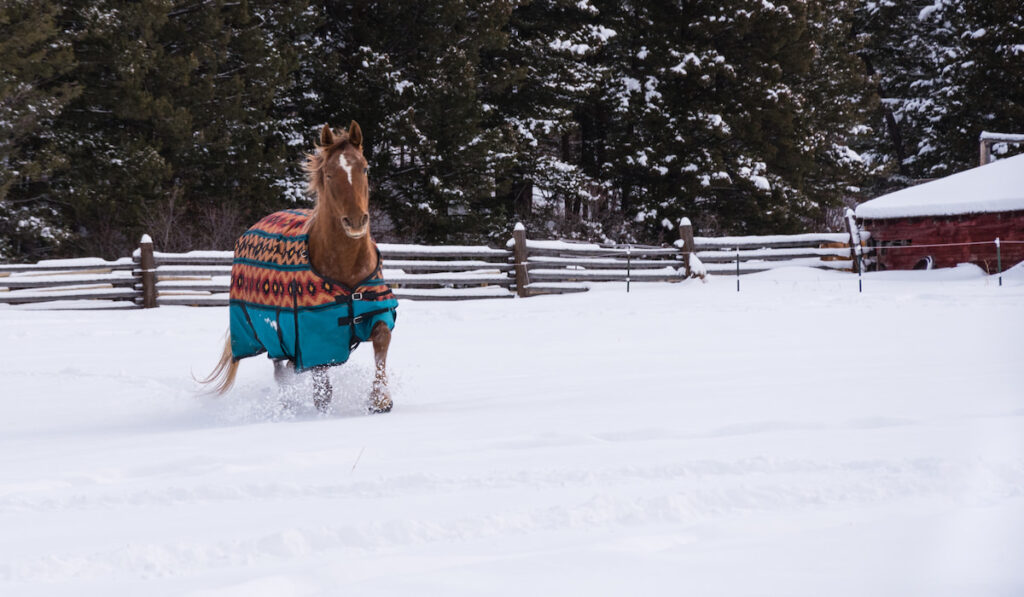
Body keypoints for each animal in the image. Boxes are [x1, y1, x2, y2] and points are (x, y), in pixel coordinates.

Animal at [199, 123, 395, 413]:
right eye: (329, 173)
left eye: (365, 168)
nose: (356, 221)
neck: (346, 266)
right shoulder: (312, 337)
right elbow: (322, 391)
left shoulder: (374, 312)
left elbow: (382, 337)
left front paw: (380, 400)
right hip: (275, 336)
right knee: (281, 374)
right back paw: (287, 407)